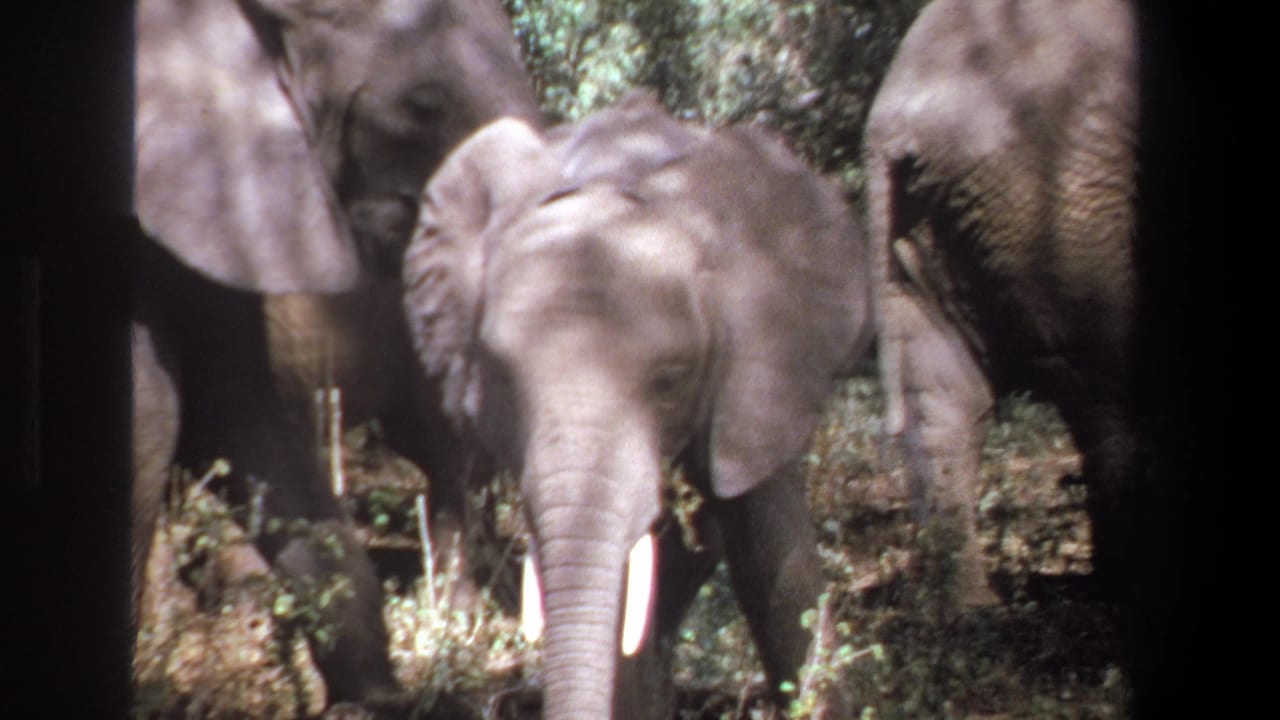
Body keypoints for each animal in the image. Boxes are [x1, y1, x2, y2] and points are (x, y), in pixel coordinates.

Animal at [863, 0, 1137, 606]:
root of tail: (889, 125)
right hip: (1057, 201)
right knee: (1106, 386)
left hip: (932, 222)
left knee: (945, 403)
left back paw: (970, 611)